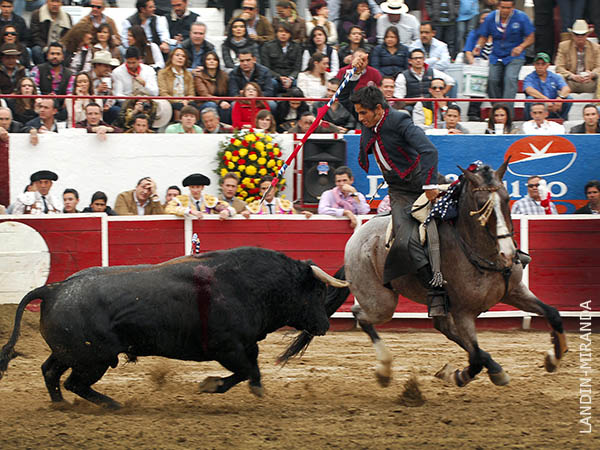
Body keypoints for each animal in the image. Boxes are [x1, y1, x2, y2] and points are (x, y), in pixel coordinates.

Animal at [0, 247, 349, 409]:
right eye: (315, 292)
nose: (323, 325)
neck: (249, 285)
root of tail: (55, 288)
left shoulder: (246, 346)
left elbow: (253, 370)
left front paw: (250, 388)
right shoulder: (228, 348)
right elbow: (246, 371)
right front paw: (210, 385)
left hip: (70, 352)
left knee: (50, 372)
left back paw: (60, 405)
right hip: (93, 359)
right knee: (75, 383)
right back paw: (113, 405)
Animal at [279, 160, 568, 388]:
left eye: (507, 200)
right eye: (480, 204)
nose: (508, 254)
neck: (480, 252)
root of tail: (356, 237)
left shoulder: (516, 292)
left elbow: (553, 313)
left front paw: (554, 357)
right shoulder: (464, 312)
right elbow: (474, 357)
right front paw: (458, 375)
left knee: (443, 327)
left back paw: (495, 368)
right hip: (382, 302)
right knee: (361, 314)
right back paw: (385, 369)